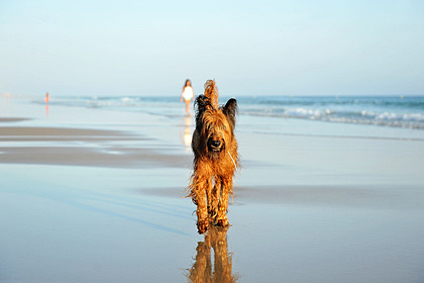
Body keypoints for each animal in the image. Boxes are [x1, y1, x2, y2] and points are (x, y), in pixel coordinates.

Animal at [189, 80, 238, 235]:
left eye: (223, 127)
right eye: (209, 126)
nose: (215, 143)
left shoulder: (226, 172)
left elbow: (223, 195)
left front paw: (222, 218)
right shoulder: (202, 171)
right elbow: (201, 195)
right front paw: (203, 221)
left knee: (216, 189)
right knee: (209, 189)